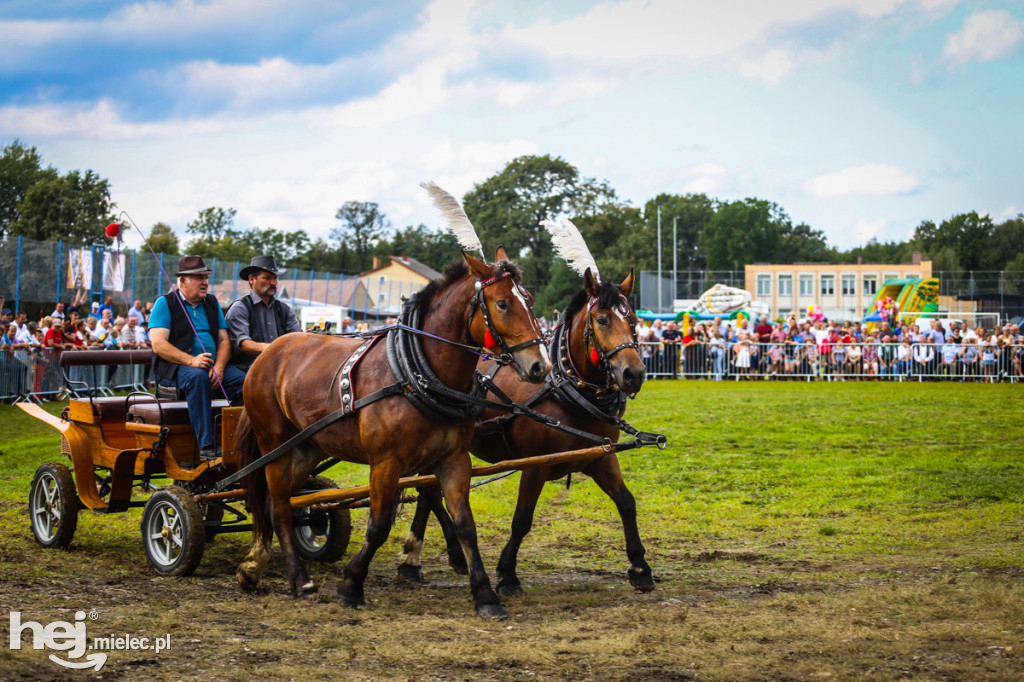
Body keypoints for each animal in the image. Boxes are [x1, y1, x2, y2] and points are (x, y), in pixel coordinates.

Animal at [395, 268, 651, 593]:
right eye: (603, 320)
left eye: (633, 319)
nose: (635, 374)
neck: (566, 387)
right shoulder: (535, 465)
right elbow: (522, 519)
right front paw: (507, 573)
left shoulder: (601, 456)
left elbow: (627, 503)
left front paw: (640, 567)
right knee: (428, 491)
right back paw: (433, 554)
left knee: (428, 492)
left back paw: (425, 557)